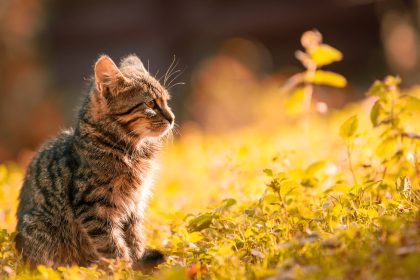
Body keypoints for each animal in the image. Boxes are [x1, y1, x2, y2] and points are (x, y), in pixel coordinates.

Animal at [15, 54, 174, 270]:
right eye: (150, 104)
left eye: (166, 101)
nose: (172, 118)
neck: (133, 150)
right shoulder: (94, 208)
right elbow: (113, 247)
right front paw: (124, 270)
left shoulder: (134, 205)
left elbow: (135, 239)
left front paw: (139, 263)